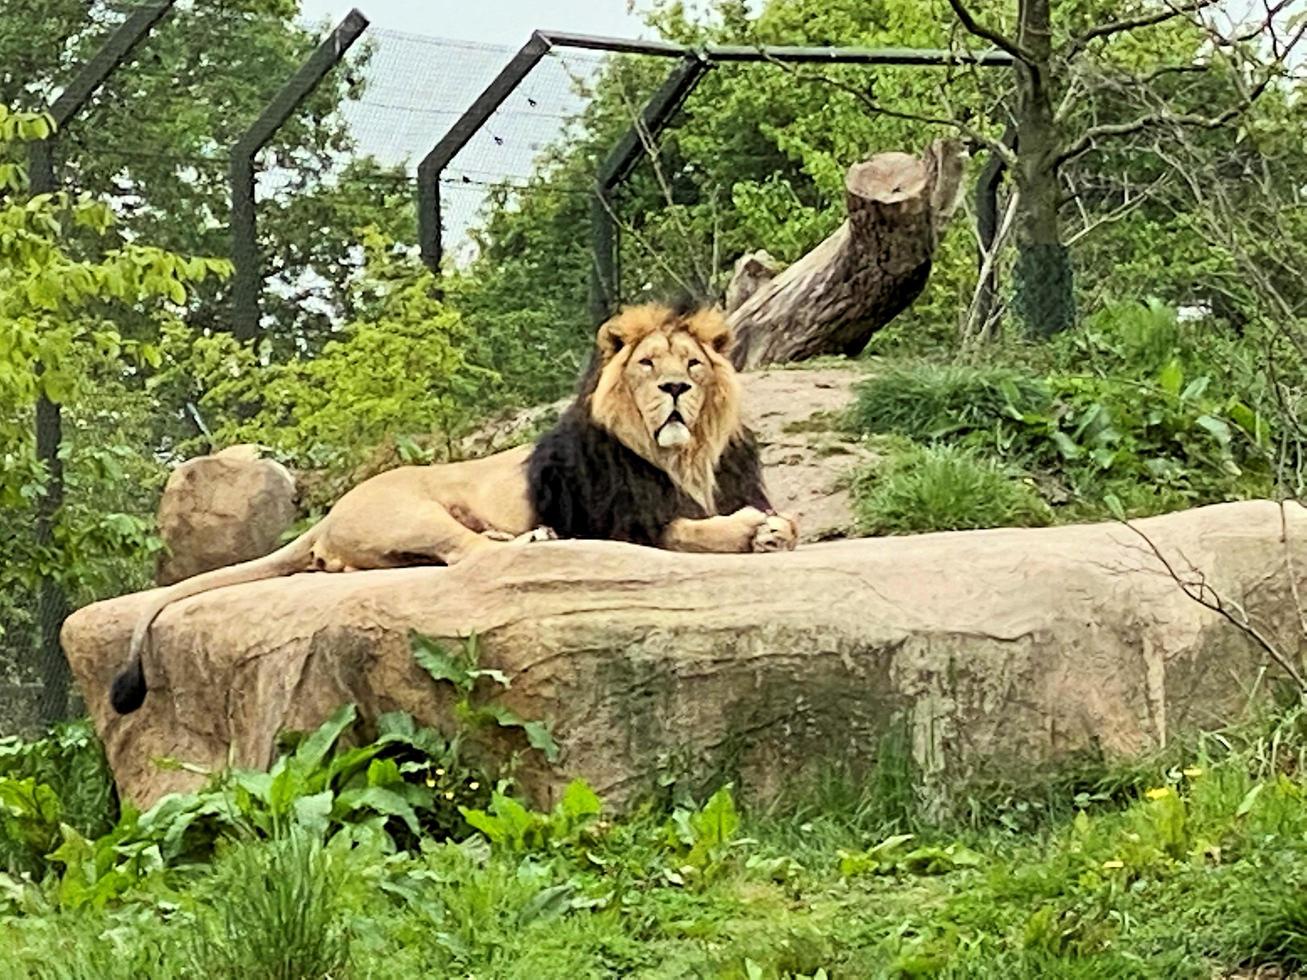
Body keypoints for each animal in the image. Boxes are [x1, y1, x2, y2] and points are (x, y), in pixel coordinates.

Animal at [112, 299, 799, 716]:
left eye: (692, 365)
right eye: (648, 364)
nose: (675, 389)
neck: (687, 458)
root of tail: (331, 511)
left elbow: (776, 518)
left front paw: (775, 531)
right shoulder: (617, 521)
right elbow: (691, 531)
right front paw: (748, 531)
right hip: (415, 510)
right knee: (466, 552)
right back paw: (533, 541)